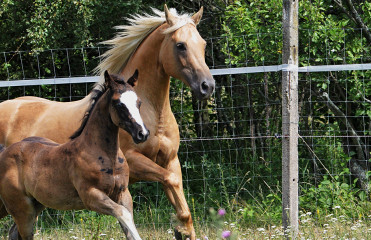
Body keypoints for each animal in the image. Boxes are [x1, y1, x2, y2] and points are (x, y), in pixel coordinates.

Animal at [0, 71, 148, 240]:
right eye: (118, 104)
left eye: (139, 102)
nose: (142, 134)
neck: (106, 156)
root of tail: (4, 152)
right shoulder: (91, 196)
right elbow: (123, 214)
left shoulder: (123, 193)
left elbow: (128, 222)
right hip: (22, 209)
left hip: (34, 205)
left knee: (13, 232)